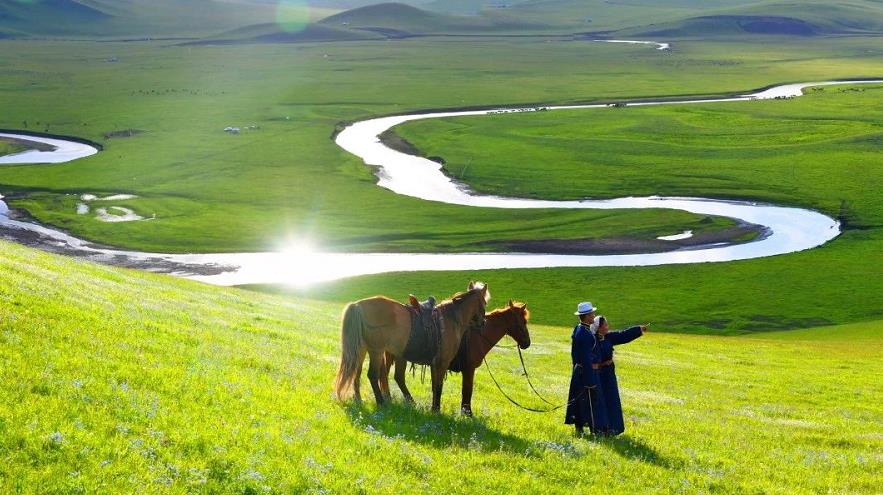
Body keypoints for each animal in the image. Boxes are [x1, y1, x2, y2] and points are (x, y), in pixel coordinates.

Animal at [334, 282, 490, 410]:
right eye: (484, 302)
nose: (483, 323)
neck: (451, 319)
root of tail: (357, 305)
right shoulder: (442, 363)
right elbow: (439, 386)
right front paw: (436, 410)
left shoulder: (434, 364)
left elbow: (434, 386)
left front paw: (433, 408)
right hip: (376, 351)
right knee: (373, 374)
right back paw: (381, 402)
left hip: (363, 350)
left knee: (358, 372)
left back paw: (360, 399)